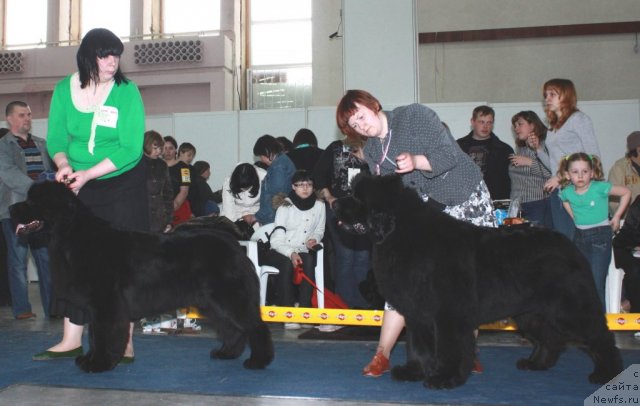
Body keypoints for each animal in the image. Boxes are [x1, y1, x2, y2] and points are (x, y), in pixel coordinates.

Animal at [10, 181, 274, 372]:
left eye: (33, 201)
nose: (11, 209)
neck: (73, 234)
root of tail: (234, 245)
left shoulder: (106, 304)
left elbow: (103, 335)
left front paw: (98, 364)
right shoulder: (98, 307)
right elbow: (95, 335)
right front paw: (90, 359)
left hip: (229, 297)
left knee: (255, 326)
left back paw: (258, 361)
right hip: (213, 302)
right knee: (233, 328)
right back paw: (226, 353)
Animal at [332, 174, 624, 390]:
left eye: (357, 198)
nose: (334, 204)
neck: (400, 233)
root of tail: (569, 245)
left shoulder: (448, 315)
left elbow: (449, 348)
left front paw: (444, 378)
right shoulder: (417, 314)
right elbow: (418, 346)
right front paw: (414, 371)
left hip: (570, 308)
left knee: (599, 336)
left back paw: (606, 374)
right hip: (530, 312)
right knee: (550, 338)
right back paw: (536, 364)